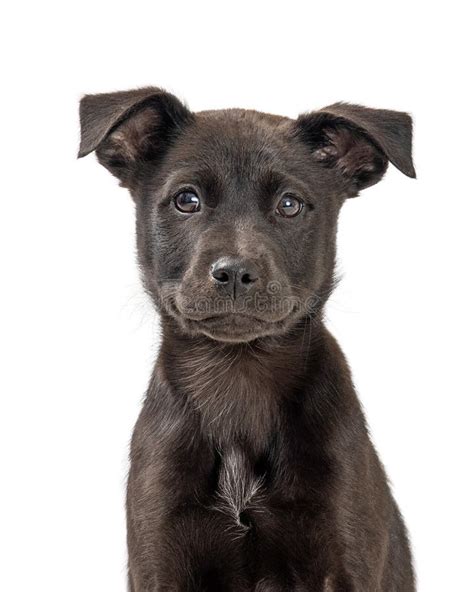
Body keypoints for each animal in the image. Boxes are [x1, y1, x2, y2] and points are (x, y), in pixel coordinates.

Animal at [78, 89, 414, 592]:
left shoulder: (345, 555)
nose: (234, 271)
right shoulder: (158, 556)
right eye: (186, 200)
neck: (238, 377)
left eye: (290, 205)